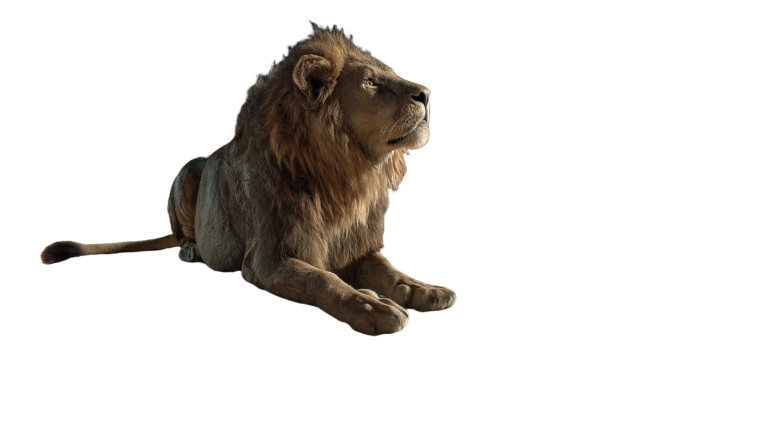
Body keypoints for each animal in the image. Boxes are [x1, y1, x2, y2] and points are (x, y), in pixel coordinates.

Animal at [41, 24, 455, 335]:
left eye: (388, 73)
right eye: (370, 83)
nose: (427, 94)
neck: (346, 175)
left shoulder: (359, 248)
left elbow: (391, 271)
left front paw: (425, 290)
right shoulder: (268, 259)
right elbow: (324, 281)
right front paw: (371, 304)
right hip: (187, 171)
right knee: (180, 234)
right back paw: (192, 250)